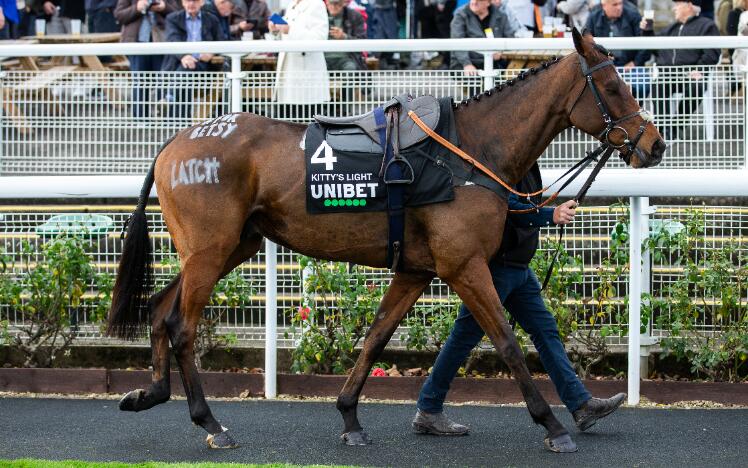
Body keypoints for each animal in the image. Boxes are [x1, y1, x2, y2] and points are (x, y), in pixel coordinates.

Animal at [105, 30, 668, 454]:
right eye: (613, 86)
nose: (656, 144)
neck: (467, 153)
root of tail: (177, 141)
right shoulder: (465, 265)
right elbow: (508, 341)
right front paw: (551, 426)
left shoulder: (416, 269)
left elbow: (377, 336)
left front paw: (350, 417)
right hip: (210, 249)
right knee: (182, 325)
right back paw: (211, 423)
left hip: (230, 246)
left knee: (161, 308)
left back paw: (151, 392)